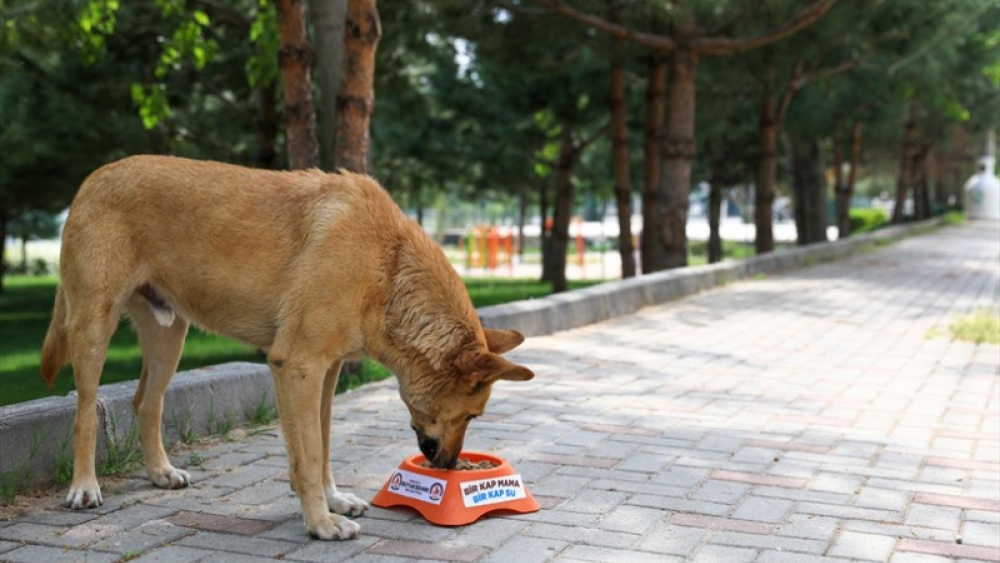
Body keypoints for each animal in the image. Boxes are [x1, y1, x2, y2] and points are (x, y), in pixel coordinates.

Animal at [41, 155, 532, 540]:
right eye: (472, 415)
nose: (448, 466)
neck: (388, 266)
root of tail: (94, 177)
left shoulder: (327, 372)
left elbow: (324, 443)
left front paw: (332, 501)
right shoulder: (298, 366)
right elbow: (309, 454)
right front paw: (321, 522)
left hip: (168, 340)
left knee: (147, 402)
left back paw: (160, 472)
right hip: (93, 329)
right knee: (86, 411)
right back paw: (84, 486)